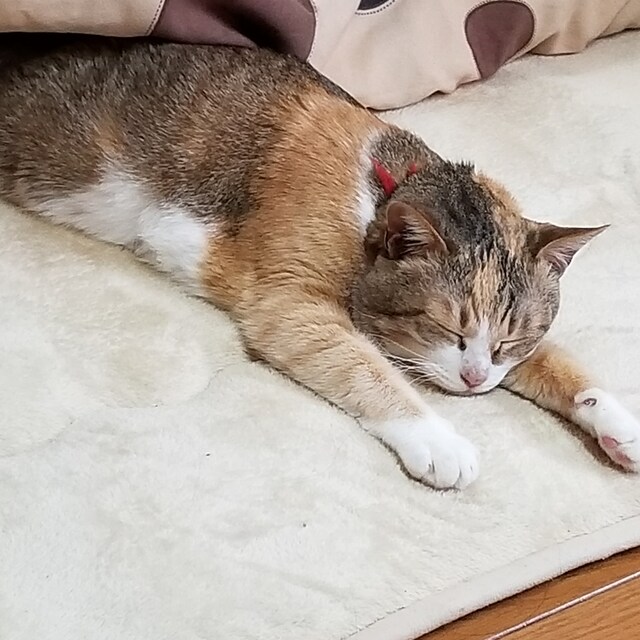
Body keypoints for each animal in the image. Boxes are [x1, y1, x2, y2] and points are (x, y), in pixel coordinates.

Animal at [0, 37, 638, 489]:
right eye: (445, 327)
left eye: (511, 340)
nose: (476, 379)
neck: (381, 195)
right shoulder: (291, 304)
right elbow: (364, 368)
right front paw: (440, 442)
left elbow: (561, 365)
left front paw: (616, 424)